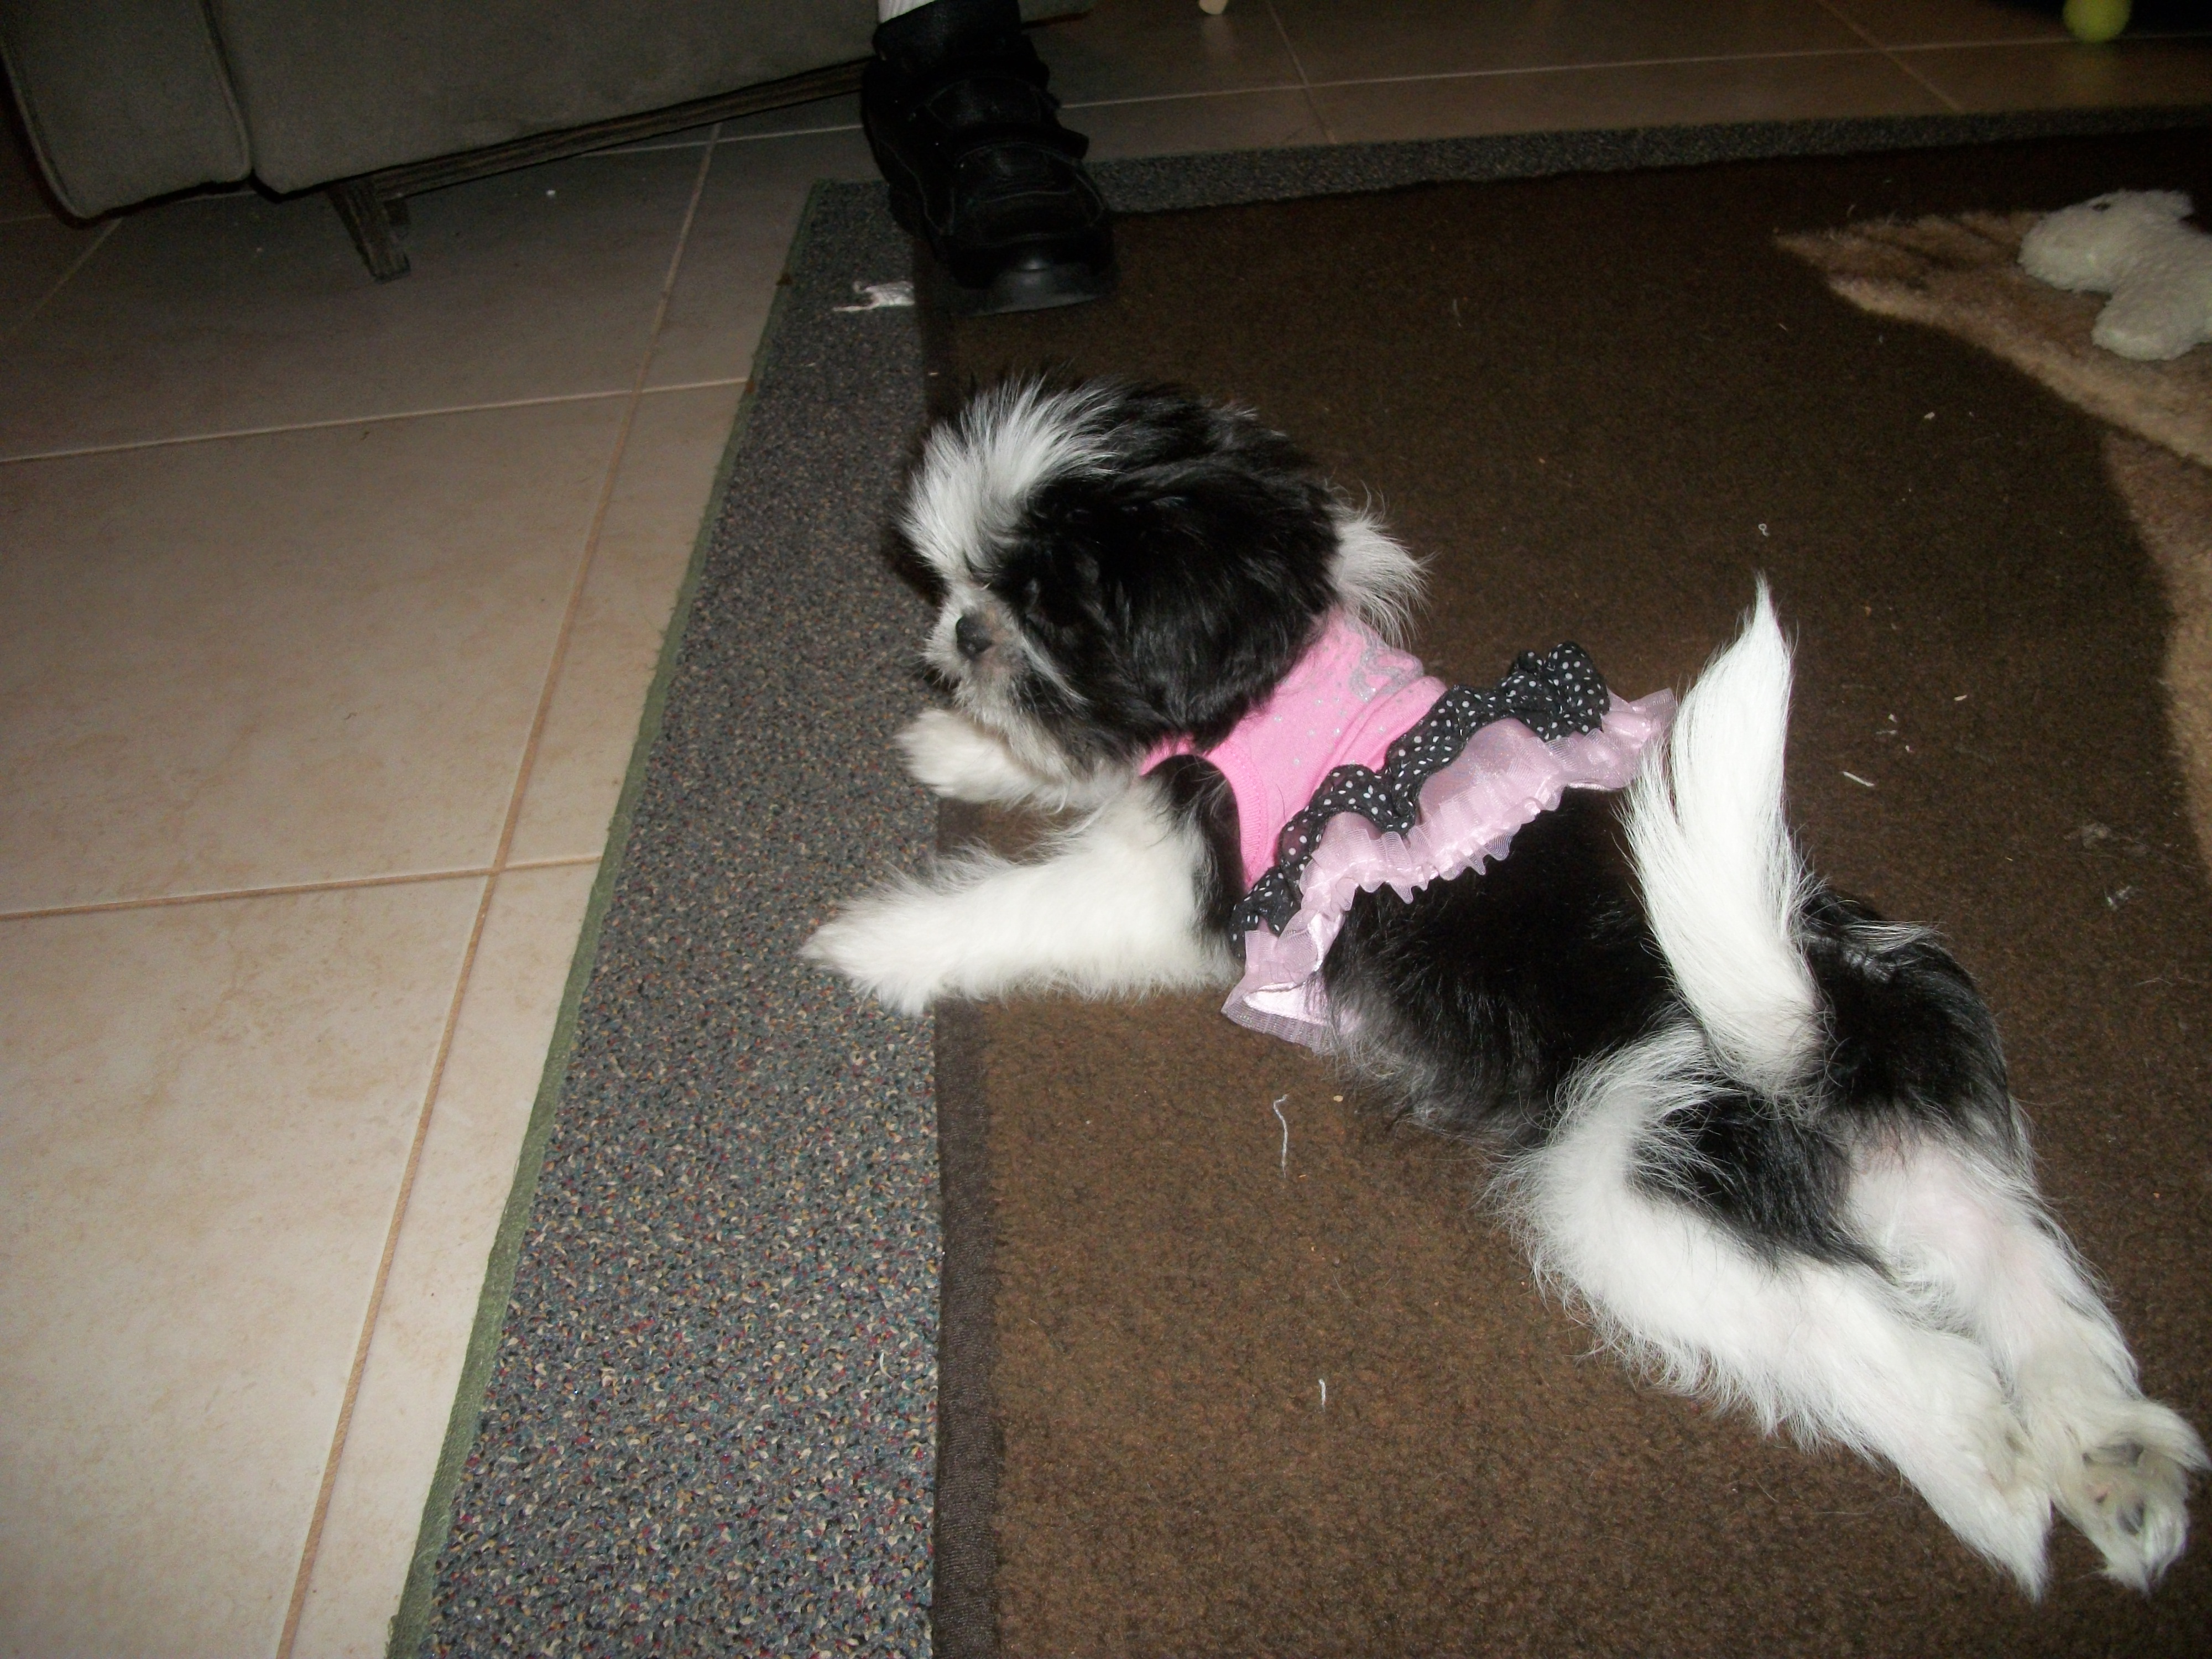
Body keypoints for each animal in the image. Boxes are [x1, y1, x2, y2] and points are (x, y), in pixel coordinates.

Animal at [805, 377, 2204, 1594]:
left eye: (1051, 616)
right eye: (963, 588)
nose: (961, 637)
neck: (1266, 682)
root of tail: (1814, 1017)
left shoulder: (1185, 887)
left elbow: (1023, 904)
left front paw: (876, 941)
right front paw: (958, 748)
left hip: (1641, 1173)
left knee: (1889, 1344)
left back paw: (1995, 1485)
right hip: (1918, 1146)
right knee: (2016, 1274)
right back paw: (2113, 1463)